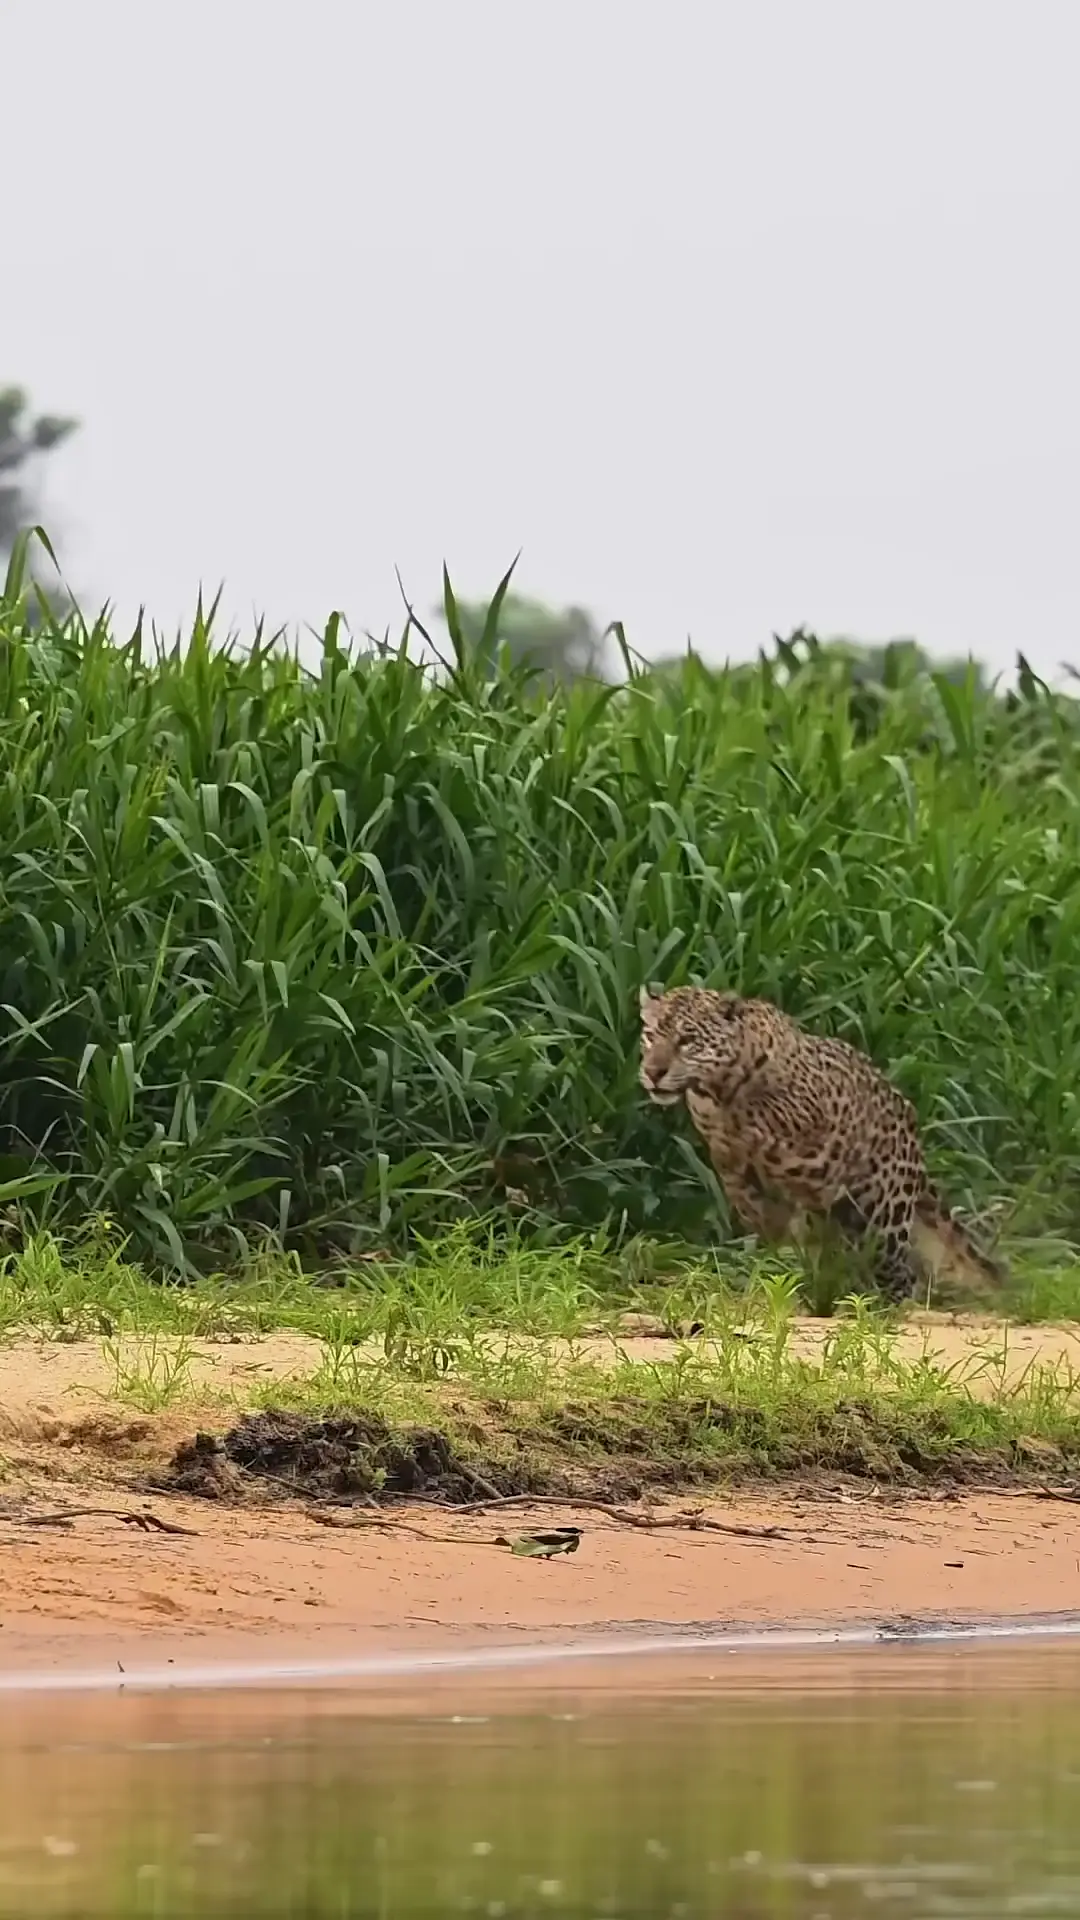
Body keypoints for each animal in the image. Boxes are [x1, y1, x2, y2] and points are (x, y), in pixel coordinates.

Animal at [638, 983, 1004, 1302]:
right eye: (650, 1036)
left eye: (687, 1040)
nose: (653, 1072)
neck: (714, 1089)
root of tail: (910, 1129)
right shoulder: (733, 1167)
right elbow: (749, 1194)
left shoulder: (802, 1114)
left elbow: (759, 1113)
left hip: (884, 1213)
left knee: (899, 1272)